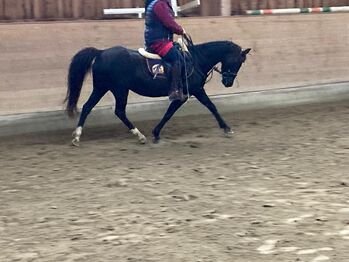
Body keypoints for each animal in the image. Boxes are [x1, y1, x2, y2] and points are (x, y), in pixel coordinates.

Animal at [64, 39, 250, 145]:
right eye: (238, 61)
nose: (228, 82)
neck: (196, 59)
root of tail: (101, 52)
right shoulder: (192, 92)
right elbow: (209, 107)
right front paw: (226, 128)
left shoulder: (189, 93)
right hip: (119, 89)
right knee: (119, 111)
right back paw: (139, 136)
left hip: (102, 87)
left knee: (87, 107)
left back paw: (77, 136)